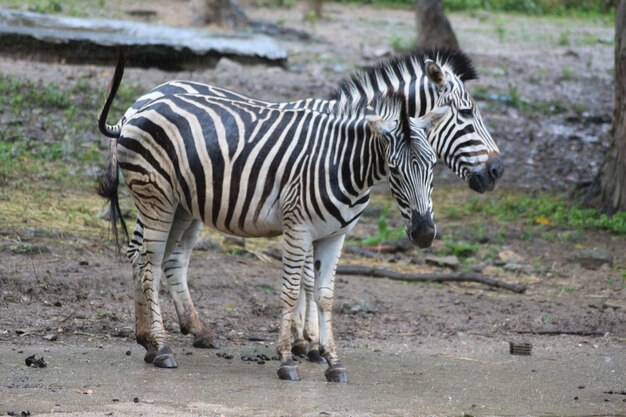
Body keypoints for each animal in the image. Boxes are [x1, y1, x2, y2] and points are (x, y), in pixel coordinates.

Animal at [114, 48, 500, 360]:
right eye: (467, 113)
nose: (497, 171)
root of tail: (141, 101)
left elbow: (308, 281)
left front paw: (307, 342)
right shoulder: (301, 221)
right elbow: (305, 281)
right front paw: (307, 343)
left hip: (186, 205)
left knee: (164, 257)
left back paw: (180, 332)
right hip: (162, 197)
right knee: (147, 255)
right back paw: (158, 340)